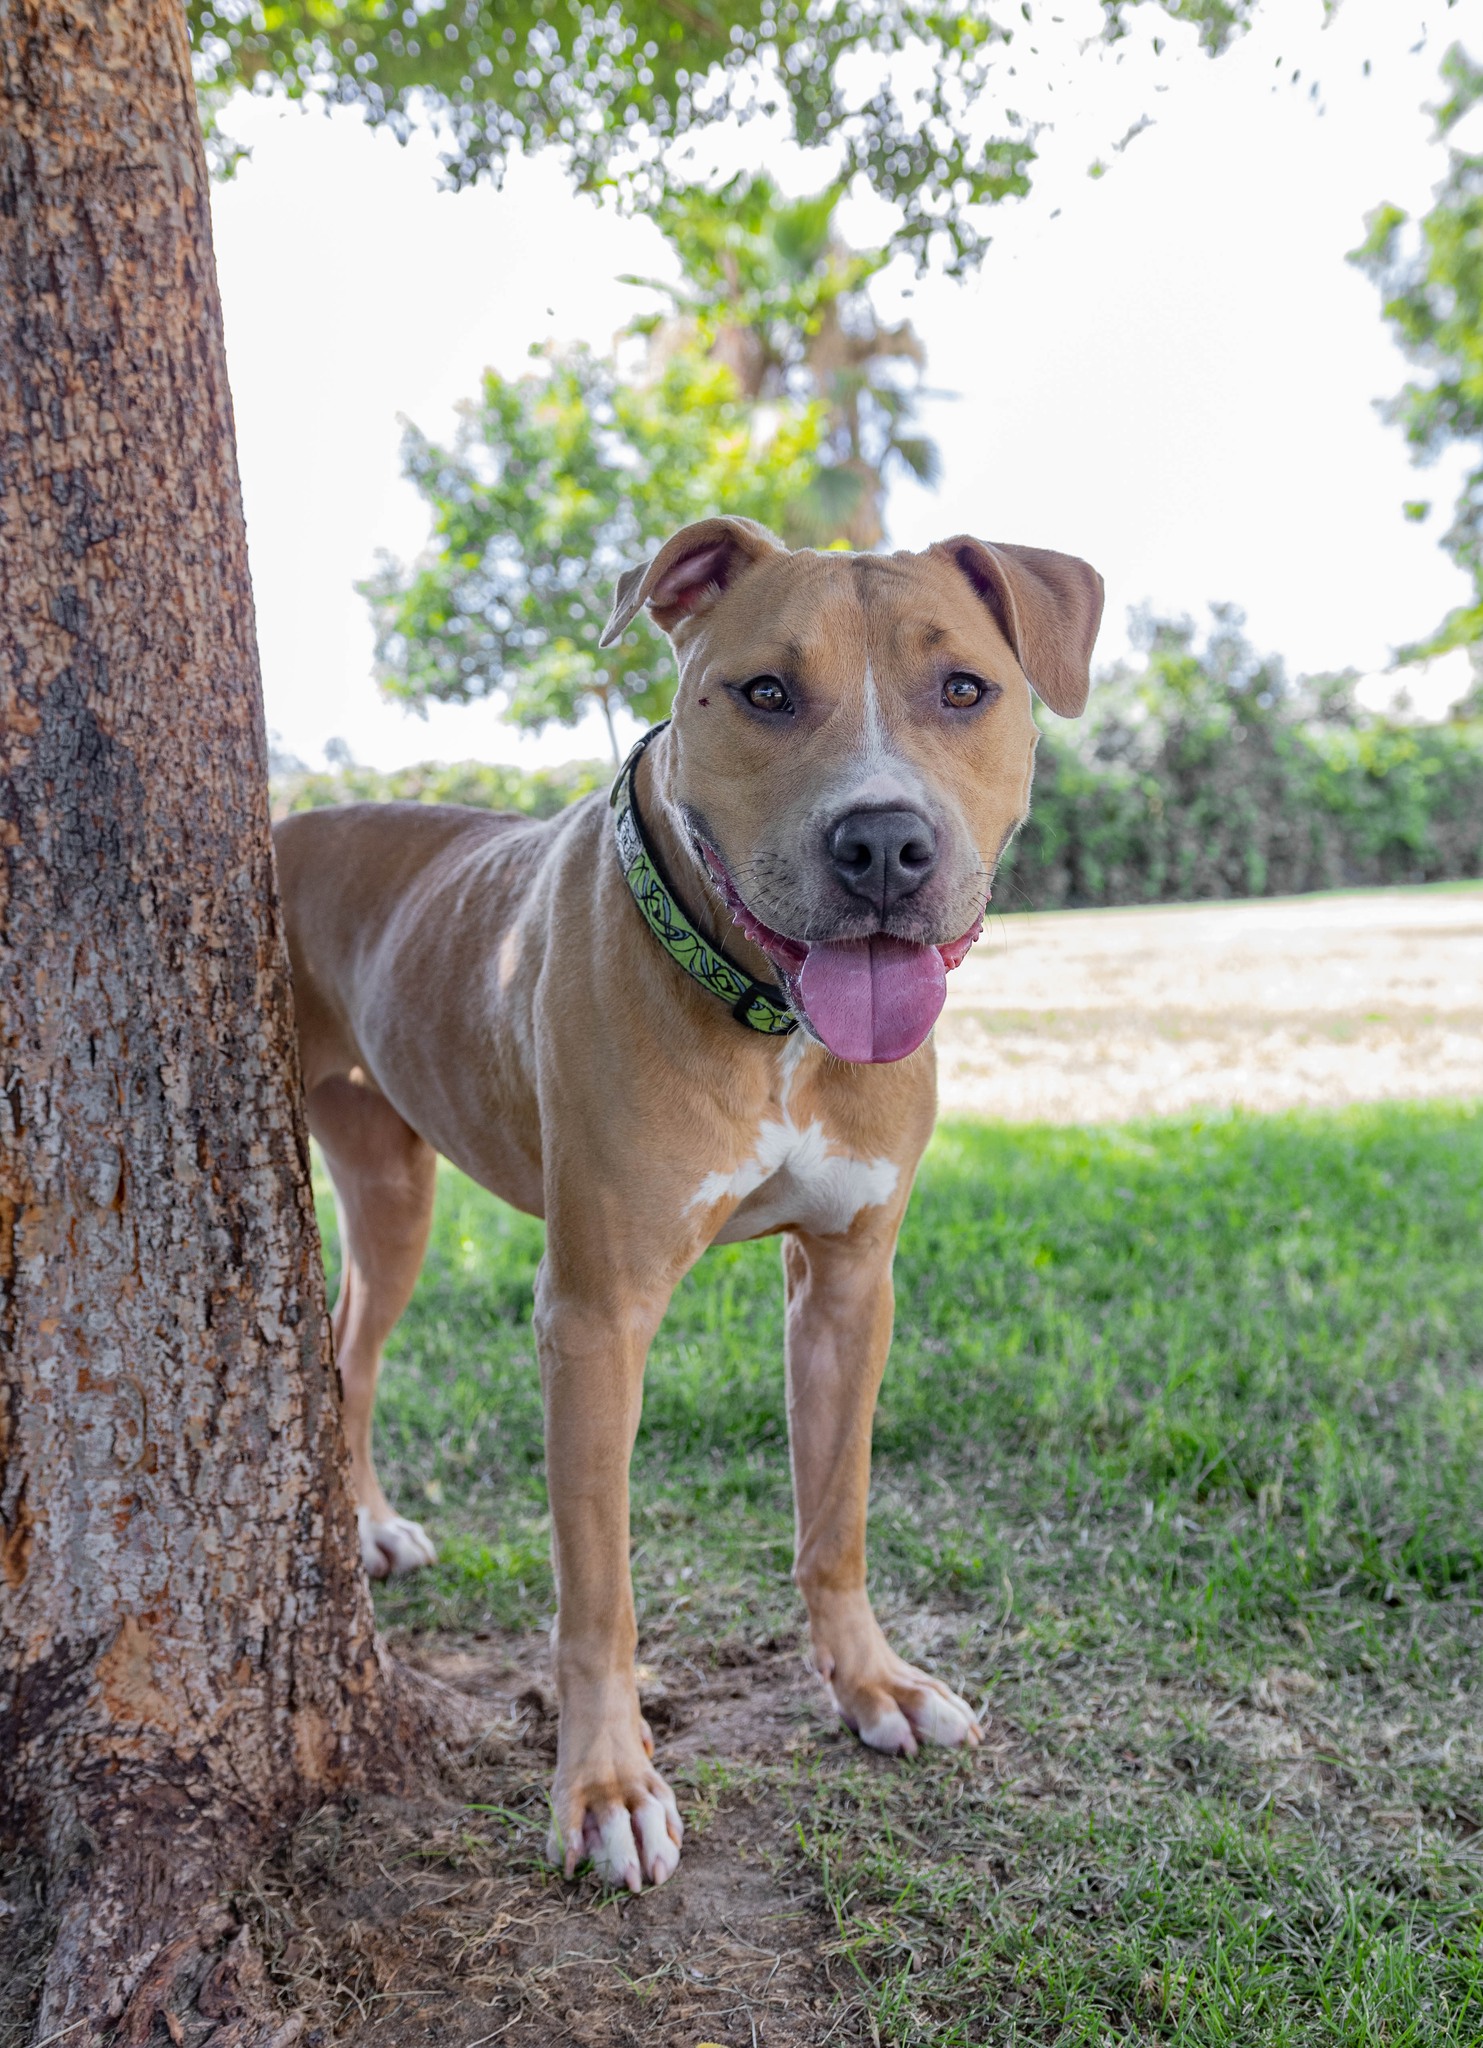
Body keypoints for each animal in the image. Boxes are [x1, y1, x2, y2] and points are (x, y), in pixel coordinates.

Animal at [272, 520, 1097, 1892]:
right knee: (349, 1355)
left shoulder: (848, 1285)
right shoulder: (595, 1314)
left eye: (962, 688)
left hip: (391, 1186)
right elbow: (596, 1585)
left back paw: (375, 1525)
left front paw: (868, 1682)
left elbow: (836, 1516)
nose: (883, 842)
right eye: (763, 691)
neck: (772, 1016)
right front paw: (605, 1783)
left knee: (349, 1350)